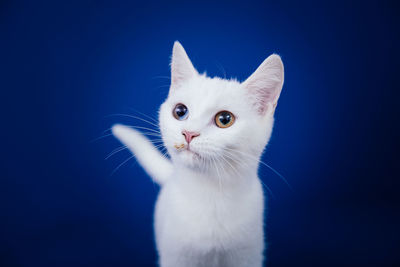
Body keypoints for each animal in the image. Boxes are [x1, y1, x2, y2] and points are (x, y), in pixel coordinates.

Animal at [111, 42, 282, 267]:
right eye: (180, 111)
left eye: (224, 119)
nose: (189, 133)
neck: (210, 195)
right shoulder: (176, 256)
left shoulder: (247, 255)